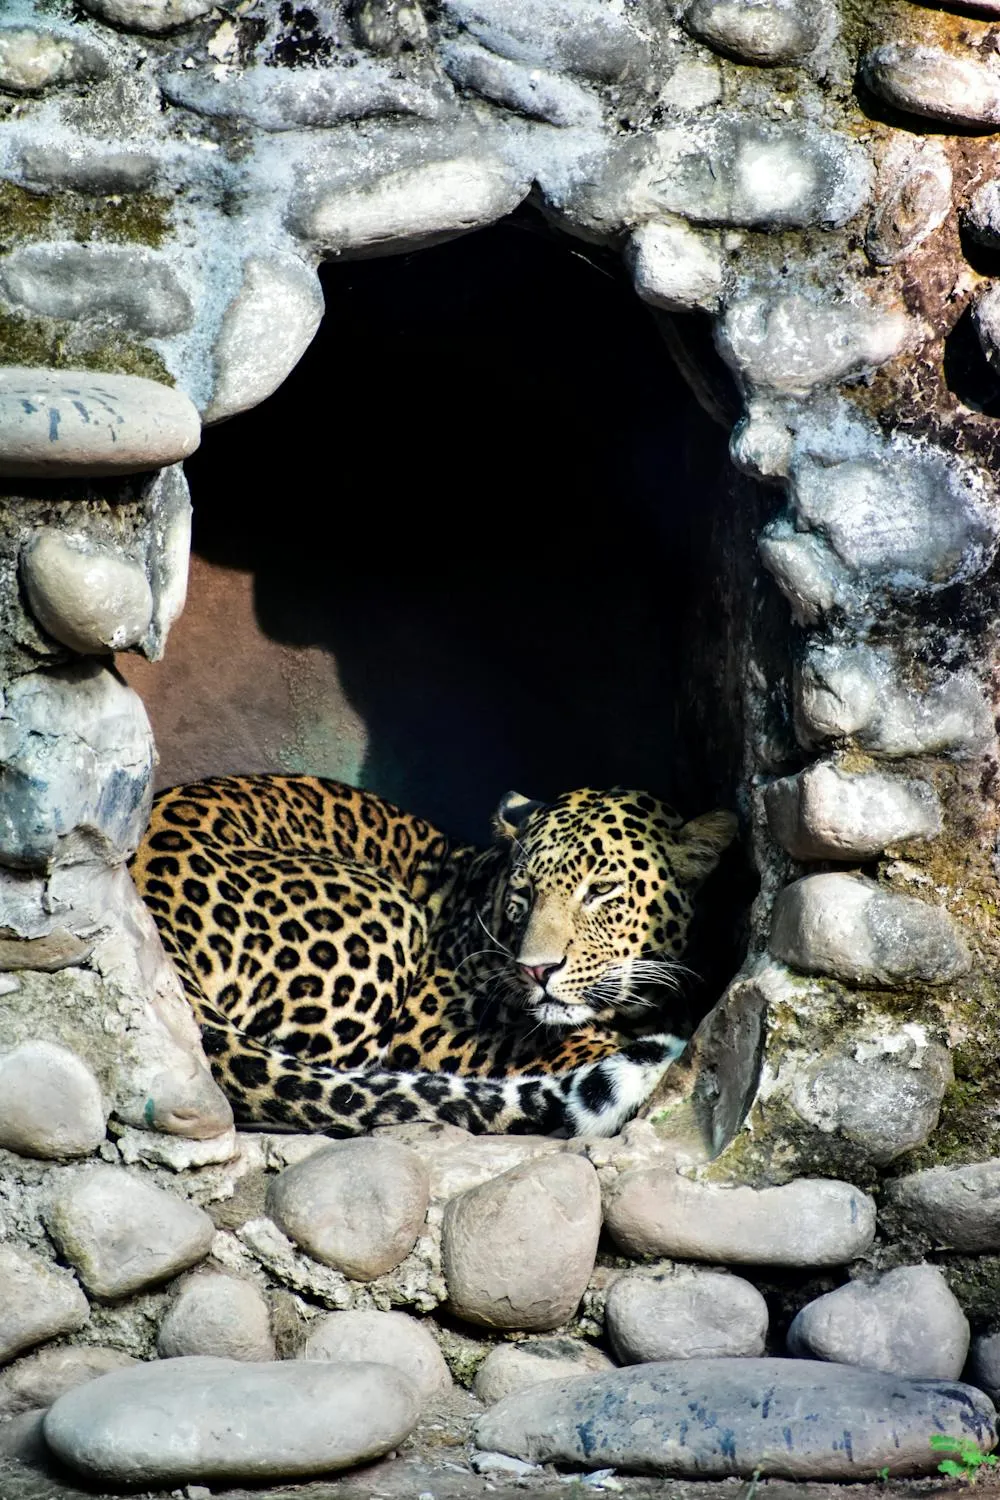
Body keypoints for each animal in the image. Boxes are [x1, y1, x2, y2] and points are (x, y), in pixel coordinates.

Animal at [131, 774, 736, 1138]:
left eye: (603, 891)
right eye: (525, 894)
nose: (537, 969)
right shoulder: (429, 1026)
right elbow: (549, 1044)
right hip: (383, 916)